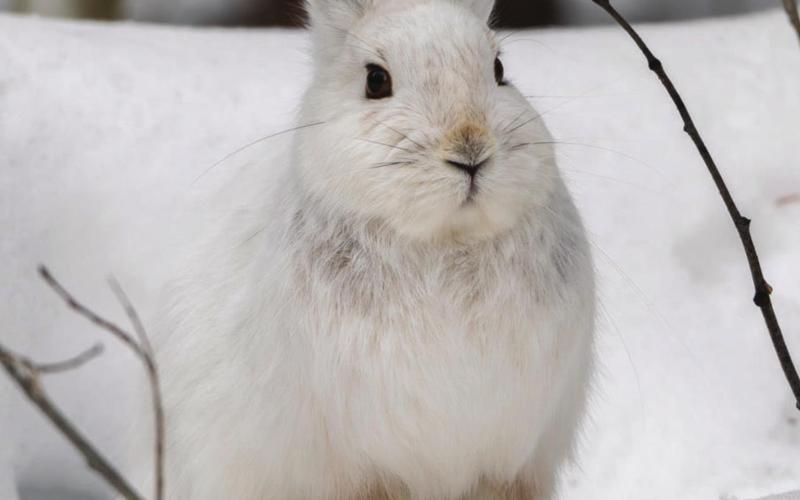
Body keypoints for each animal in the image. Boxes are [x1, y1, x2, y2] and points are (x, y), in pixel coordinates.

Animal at [126, 0, 597, 499]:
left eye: (499, 69)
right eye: (375, 81)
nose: (471, 150)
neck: (444, 241)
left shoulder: (510, 464)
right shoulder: (360, 469)